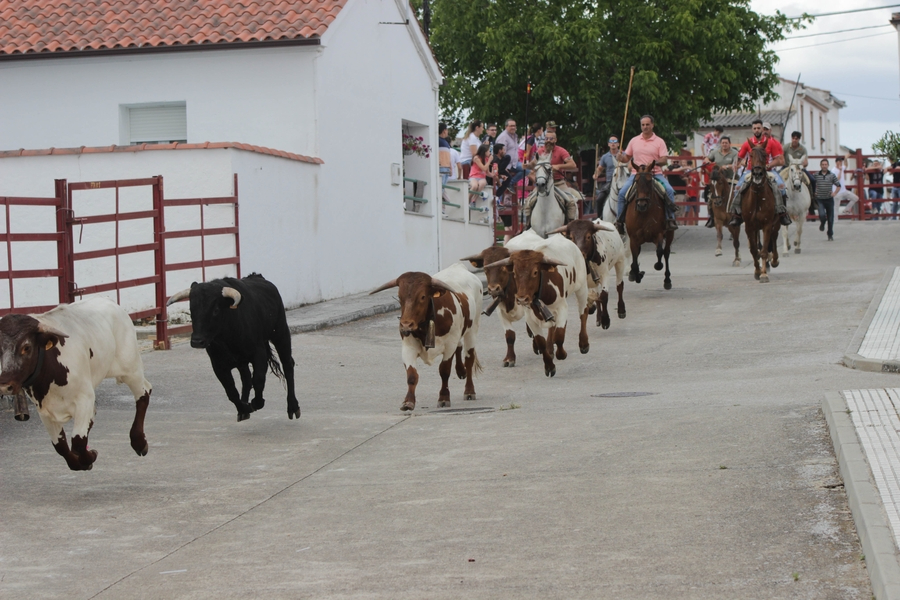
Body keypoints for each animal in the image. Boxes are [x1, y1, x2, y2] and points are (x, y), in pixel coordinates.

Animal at [624, 161, 674, 290]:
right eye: (636, 181)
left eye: (649, 180)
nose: (641, 205)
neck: (644, 213)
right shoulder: (633, 238)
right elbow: (635, 260)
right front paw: (636, 275)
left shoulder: (658, 234)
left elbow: (660, 251)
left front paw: (657, 266)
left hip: (670, 234)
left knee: (666, 253)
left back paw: (667, 280)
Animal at [740, 146, 781, 283]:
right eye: (751, 155)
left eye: (765, 155)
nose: (757, 173)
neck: (758, 197)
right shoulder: (749, 226)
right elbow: (753, 250)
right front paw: (757, 271)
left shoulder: (767, 224)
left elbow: (764, 250)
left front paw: (763, 274)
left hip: (776, 224)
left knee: (774, 238)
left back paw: (774, 260)